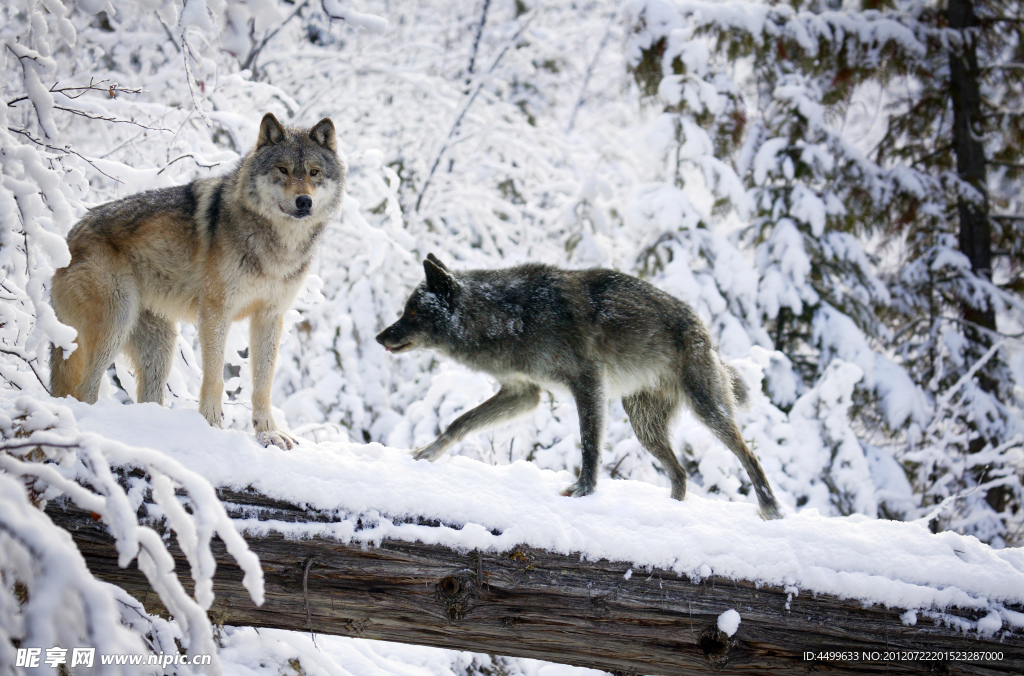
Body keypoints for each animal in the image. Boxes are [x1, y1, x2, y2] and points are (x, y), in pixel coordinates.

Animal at [48, 112, 344, 446]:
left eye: (314, 172)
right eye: (282, 169)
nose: (304, 201)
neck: (277, 247)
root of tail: (67, 238)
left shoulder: (270, 316)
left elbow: (263, 382)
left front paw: (268, 432)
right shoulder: (215, 311)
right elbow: (214, 377)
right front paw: (212, 425)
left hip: (160, 346)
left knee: (146, 396)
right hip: (117, 322)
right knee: (85, 390)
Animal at [376, 256, 782, 520]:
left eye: (413, 313)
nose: (380, 336)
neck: (512, 315)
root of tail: (703, 327)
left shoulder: (587, 383)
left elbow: (589, 445)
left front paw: (583, 491)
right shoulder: (524, 394)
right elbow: (458, 422)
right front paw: (427, 454)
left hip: (706, 412)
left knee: (749, 455)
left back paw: (770, 509)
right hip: (645, 429)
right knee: (680, 473)